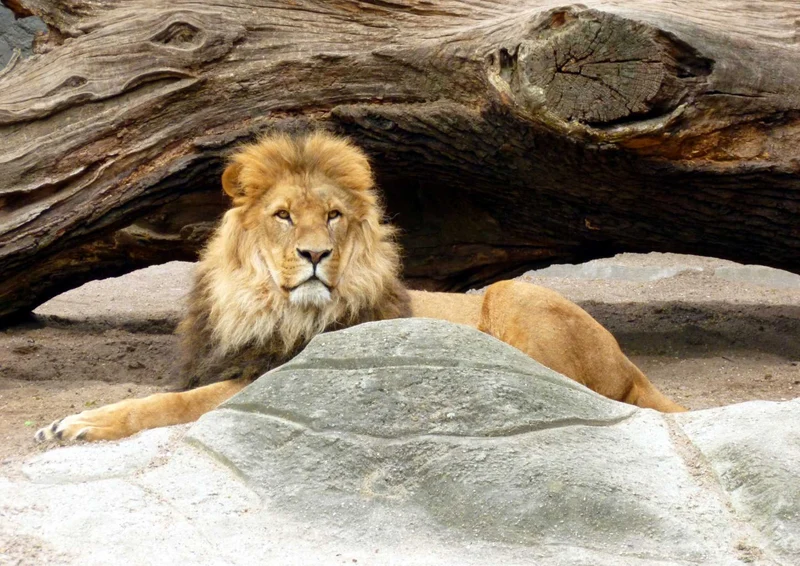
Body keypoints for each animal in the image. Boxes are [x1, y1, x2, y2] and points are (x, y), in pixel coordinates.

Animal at [36, 132, 684, 443]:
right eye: (282, 216)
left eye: (333, 217)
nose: (314, 255)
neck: (265, 305)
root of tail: (629, 363)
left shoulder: (270, 379)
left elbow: (169, 404)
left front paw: (79, 423)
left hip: (512, 293)